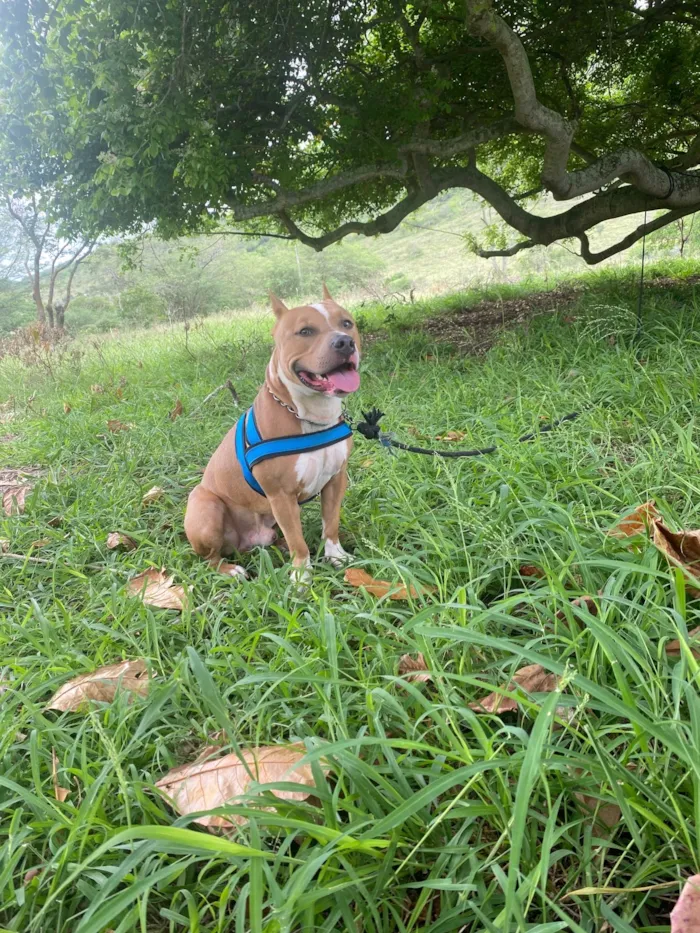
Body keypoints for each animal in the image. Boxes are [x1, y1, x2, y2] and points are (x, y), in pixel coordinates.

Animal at [185, 284, 360, 580]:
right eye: (305, 331)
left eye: (347, 323)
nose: (345, 342)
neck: (309, 415)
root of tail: (245, 543)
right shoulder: (281, 497)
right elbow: (298, 543)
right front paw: (301, 577)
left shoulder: (336, 481)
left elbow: (331, 523)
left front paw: (336, 556)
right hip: (205, 505)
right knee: (210, 559)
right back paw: (230, 570)